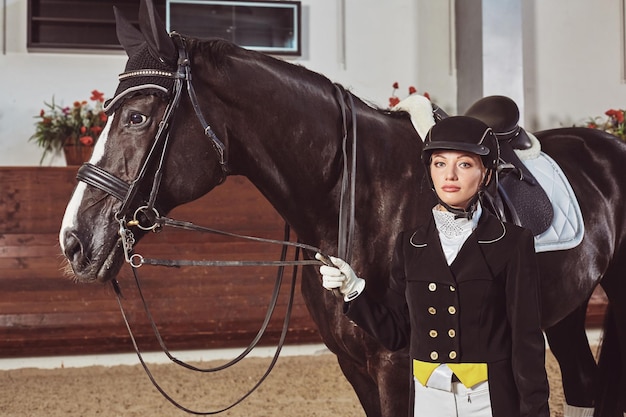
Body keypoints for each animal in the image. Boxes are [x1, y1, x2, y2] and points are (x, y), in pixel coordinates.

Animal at [59, 1, 624, 414]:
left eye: (136, 116)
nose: (74, 241)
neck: (362, 201)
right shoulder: (355, 367)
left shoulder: (398, 366)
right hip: (563, 310)